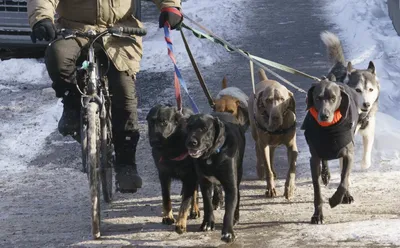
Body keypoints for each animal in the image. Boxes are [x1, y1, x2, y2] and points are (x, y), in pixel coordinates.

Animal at [186, 112, 245, 242]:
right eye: (189, 127)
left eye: (204, 128)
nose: (191, 142)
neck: (212, 156)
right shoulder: (204, 183)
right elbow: (207, 205)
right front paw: (207, 223)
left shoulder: (230, 186)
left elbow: (229, 210)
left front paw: (228, 233)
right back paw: (217, 200)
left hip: (239, 172)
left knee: (238, 195)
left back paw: (236, 217)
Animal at [248, 68, 298, 200]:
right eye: (268, 100)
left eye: (282, 99)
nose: (275, 117)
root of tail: (265, 80)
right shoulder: (264, 143)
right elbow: (267, 168)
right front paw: (270, 189)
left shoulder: (292, 146)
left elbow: (291, 168)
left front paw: (289, 189)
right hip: (256, 133)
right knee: (258, 148)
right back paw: (260, 169)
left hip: (273, 142)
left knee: (272, 151)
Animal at [300, 79, 360, 225]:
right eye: (317, 98)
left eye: (333, 98)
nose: (324, 116)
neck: (329, 128)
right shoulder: (314, 159)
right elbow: (317, 191)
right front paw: (317, 215)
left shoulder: (348, 154)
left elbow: (344, 180)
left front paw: (335, 200)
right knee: (325, 159)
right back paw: (325, 174)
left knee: (344, 174)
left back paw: (346, 195)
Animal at [320, 31, 380, 170]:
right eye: (357, 90)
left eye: (371, 89)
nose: (367, 104)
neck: (360, 114)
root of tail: (340, 66)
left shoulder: (369, 130)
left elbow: (367, 151)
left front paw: (364, 164)